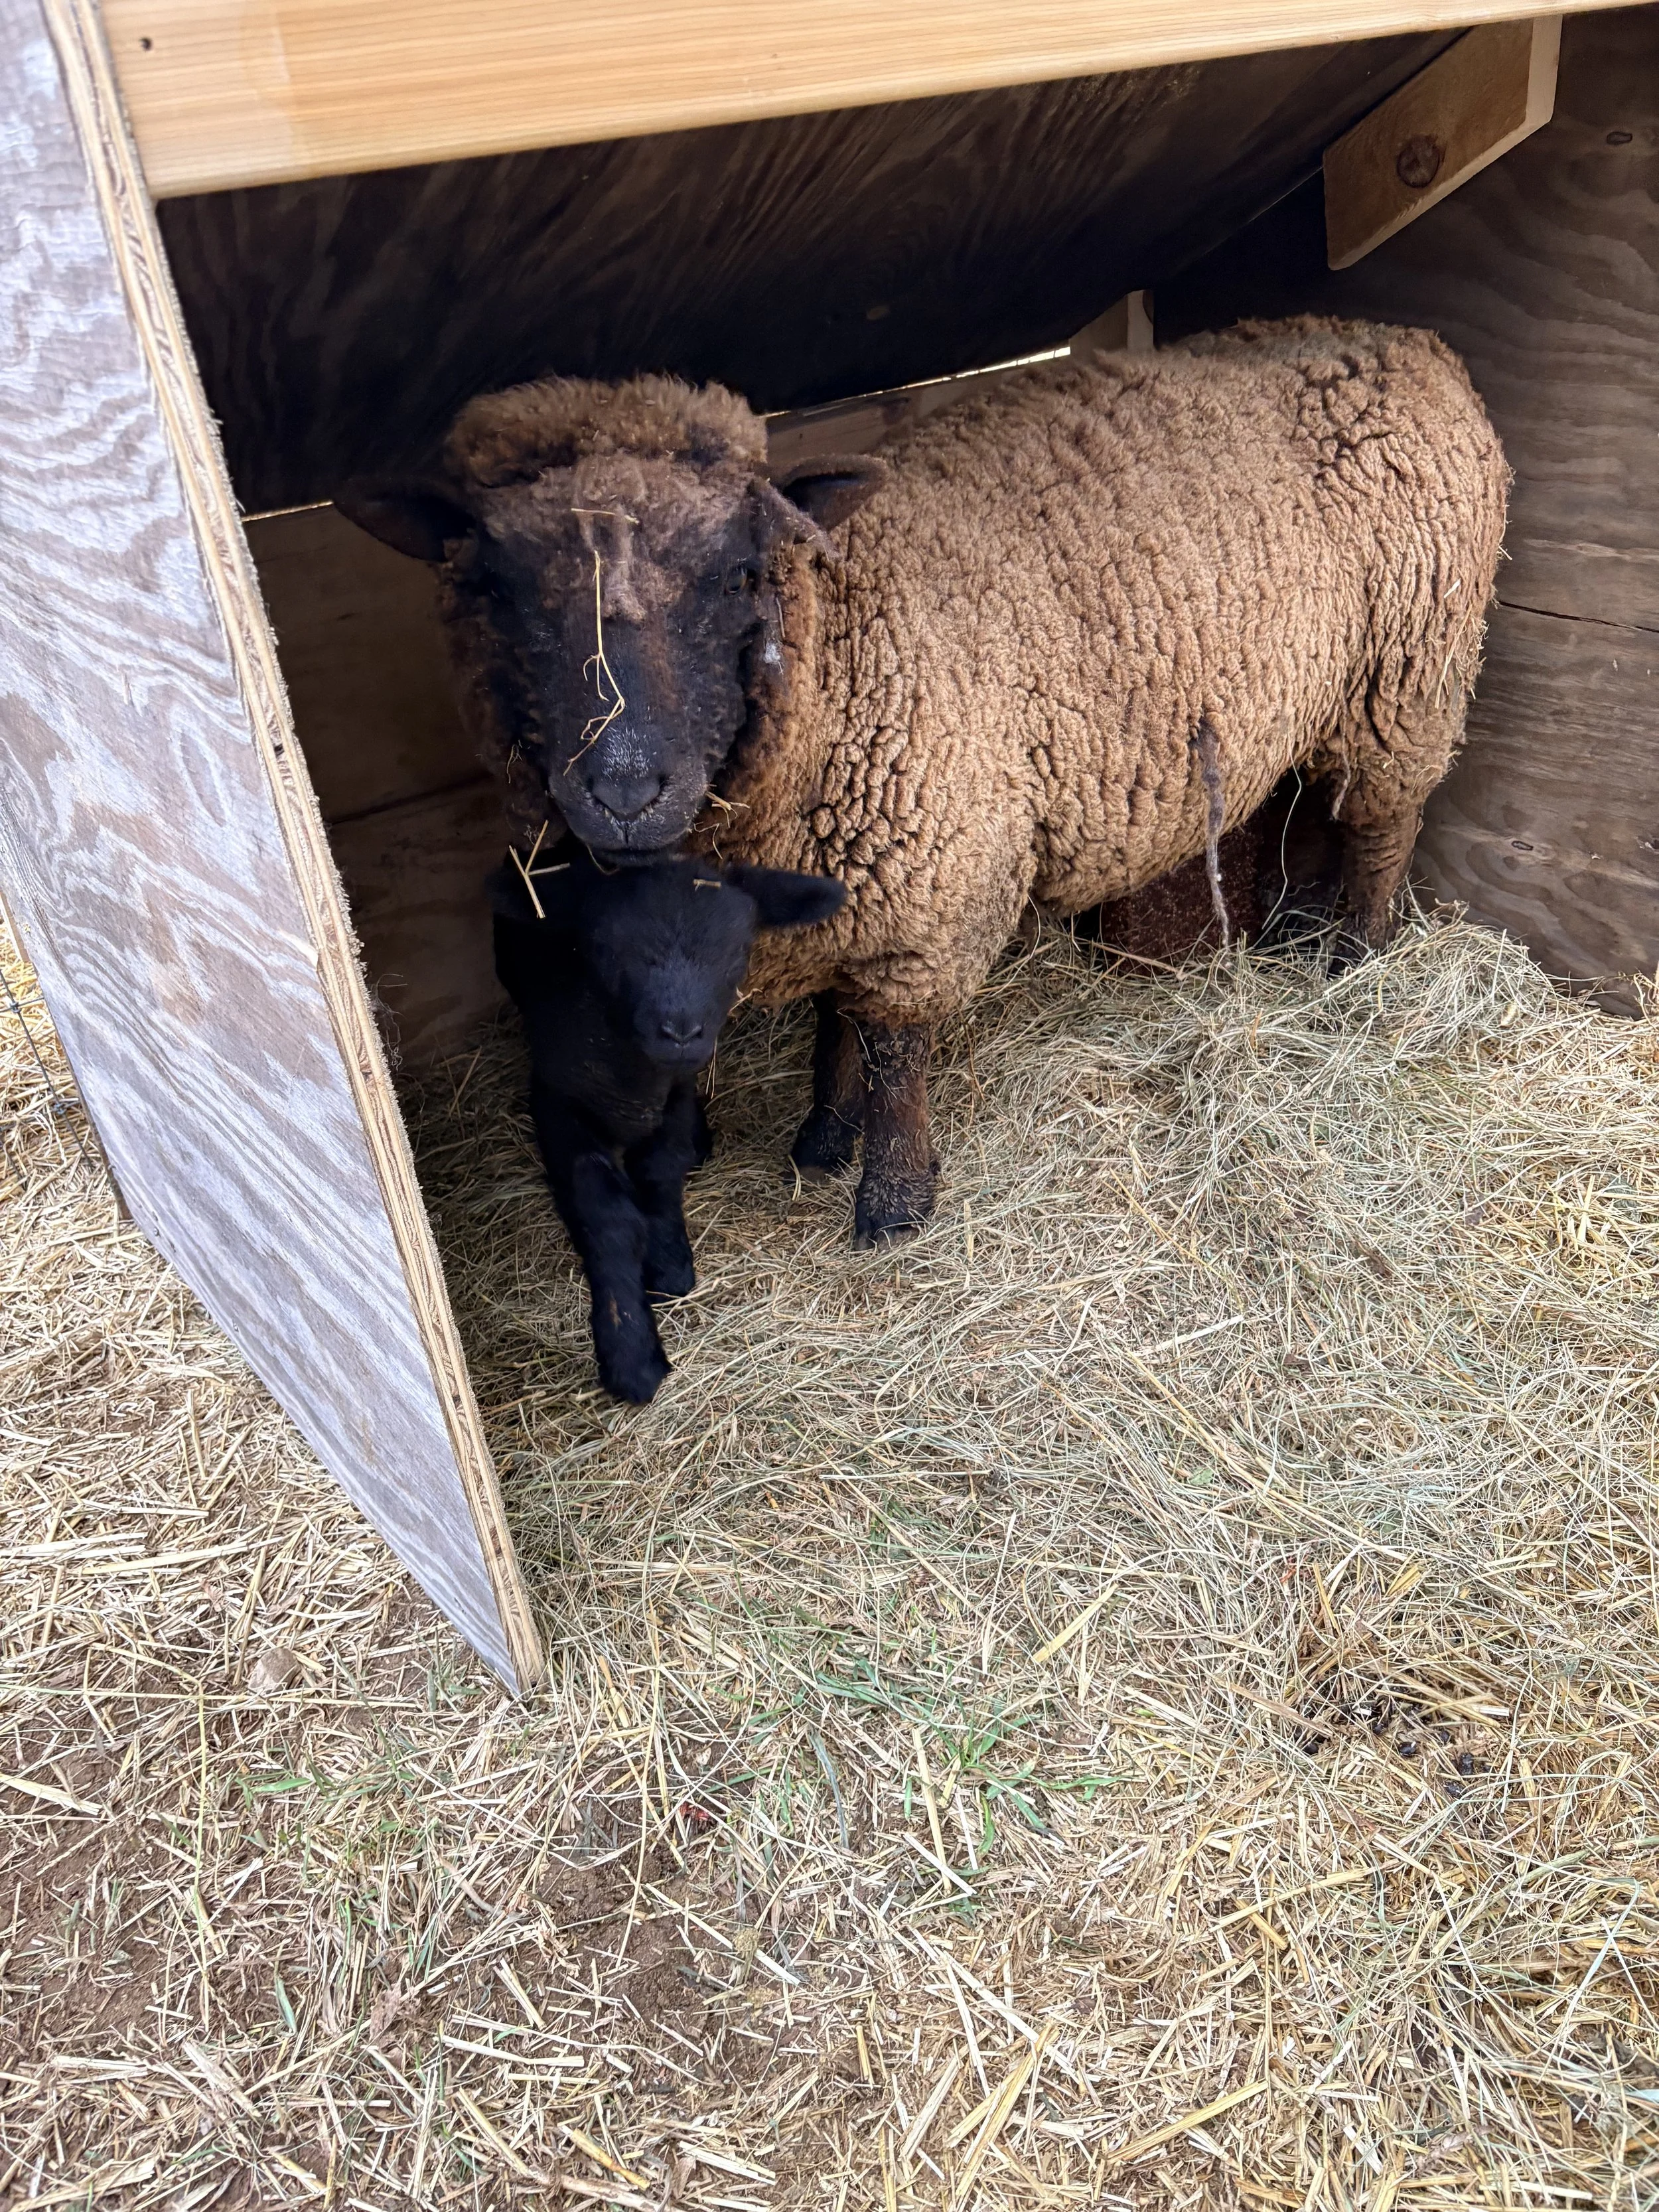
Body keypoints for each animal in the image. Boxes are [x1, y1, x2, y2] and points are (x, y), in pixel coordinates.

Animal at [490, 844, 843, 1401]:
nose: (680, 1031)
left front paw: (671, 1264)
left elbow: (660, 1170)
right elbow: (607, 1213)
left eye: (738, 951)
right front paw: (630, 1352)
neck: (634, 1083)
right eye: (604, 949)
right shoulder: (555, 1104)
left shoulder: (673, 1094)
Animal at [695, 317, 1508, 1244]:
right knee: (1314, 804)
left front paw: (893, 1202)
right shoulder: (866, 876)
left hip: (1409, 670)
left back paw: (1358, 961)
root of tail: (1407, 340)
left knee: (1382, 822)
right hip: (1331, 687)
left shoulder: (933, 874)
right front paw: (823, 1141)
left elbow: (889, 1049)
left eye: (738, 570)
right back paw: (1295, 932)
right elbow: (836, 1018)